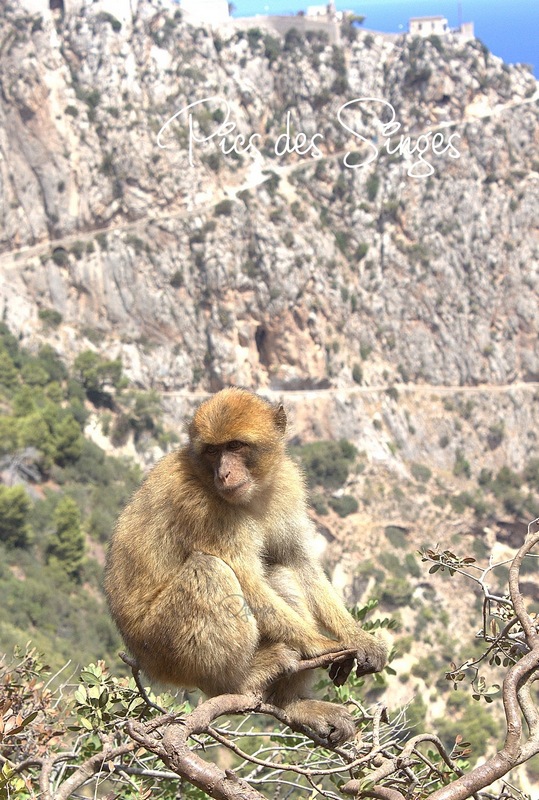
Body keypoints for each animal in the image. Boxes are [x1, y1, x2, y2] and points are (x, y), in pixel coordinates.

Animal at [103, 388, 386, 744]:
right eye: (212, 451)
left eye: (235, 446)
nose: (223, 473)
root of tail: (139, 655)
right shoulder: (202, 507)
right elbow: (246, 578)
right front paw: (323, 645)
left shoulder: (286, 484)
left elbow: (297, 562)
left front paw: (358, 639)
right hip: (163, 648)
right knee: (211, 570)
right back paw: (237, 683)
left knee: (278, 571)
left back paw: (290, 703)